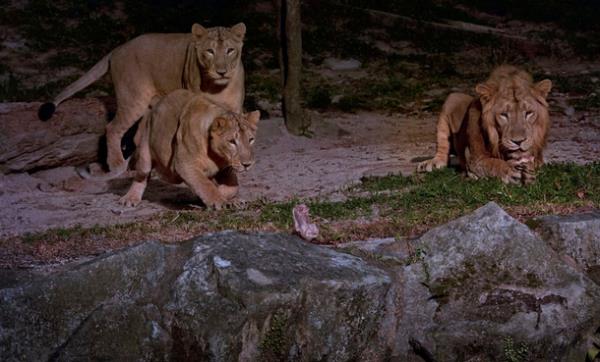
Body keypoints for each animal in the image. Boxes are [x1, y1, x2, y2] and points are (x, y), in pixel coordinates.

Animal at [37, 22, 245, 178]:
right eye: (209, 51)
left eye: (230, 50)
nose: (221, 71)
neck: (218, 87)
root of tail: (117, 49)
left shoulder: (234, 110)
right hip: (132, 100)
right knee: (112, 128)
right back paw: (117, 165)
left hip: (148, 105)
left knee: (137, 137)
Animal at [119, 88, 260, 209]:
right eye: (232, 142)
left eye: (251, 140)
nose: (247, 164)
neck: (216, 155)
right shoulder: (185, 164)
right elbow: (206, 185)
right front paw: (221, 201)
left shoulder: (226, 169)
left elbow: (232, 187)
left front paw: (230, 199)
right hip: (145, 152)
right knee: (141, 177)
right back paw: (130, 198)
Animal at [418, 65, 552, 184]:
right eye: (503, 115)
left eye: (529, 113)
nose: (518, 142)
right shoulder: (474, 159)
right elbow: (492, 164)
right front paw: (509, 170)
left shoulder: (538, 158)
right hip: (453, 97)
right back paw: (432, 163)